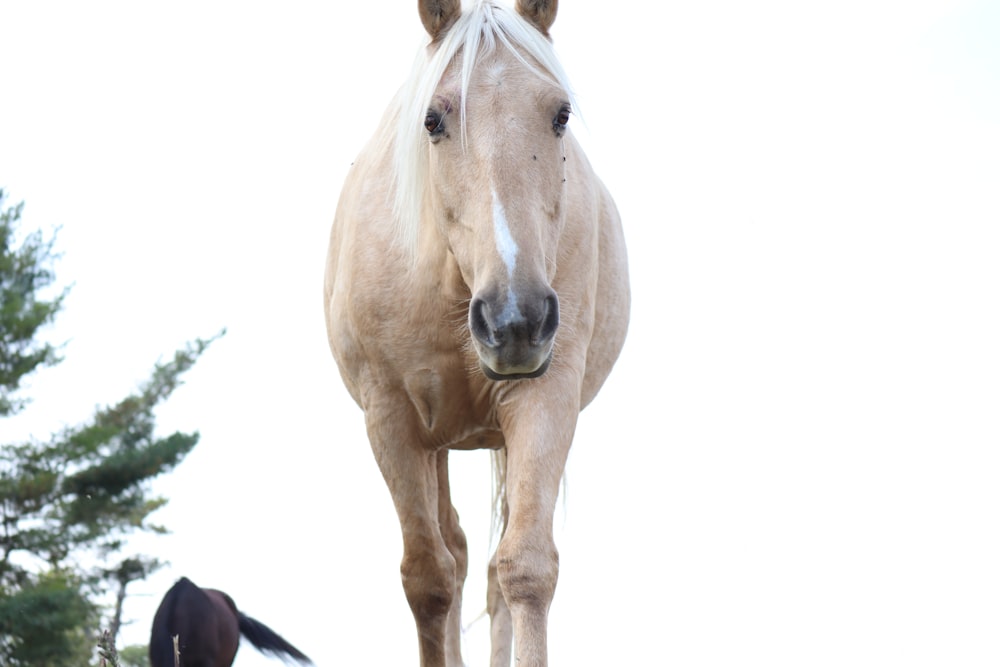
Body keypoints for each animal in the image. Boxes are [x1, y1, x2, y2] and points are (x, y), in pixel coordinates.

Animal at [324, 2, 628, 664]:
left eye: (561, 114)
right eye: (432, 120)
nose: (516, 319)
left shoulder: (546, 399)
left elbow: (525, 569)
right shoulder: (391, 419)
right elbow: (429, 579)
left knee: (490, 567)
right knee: (455, 554)